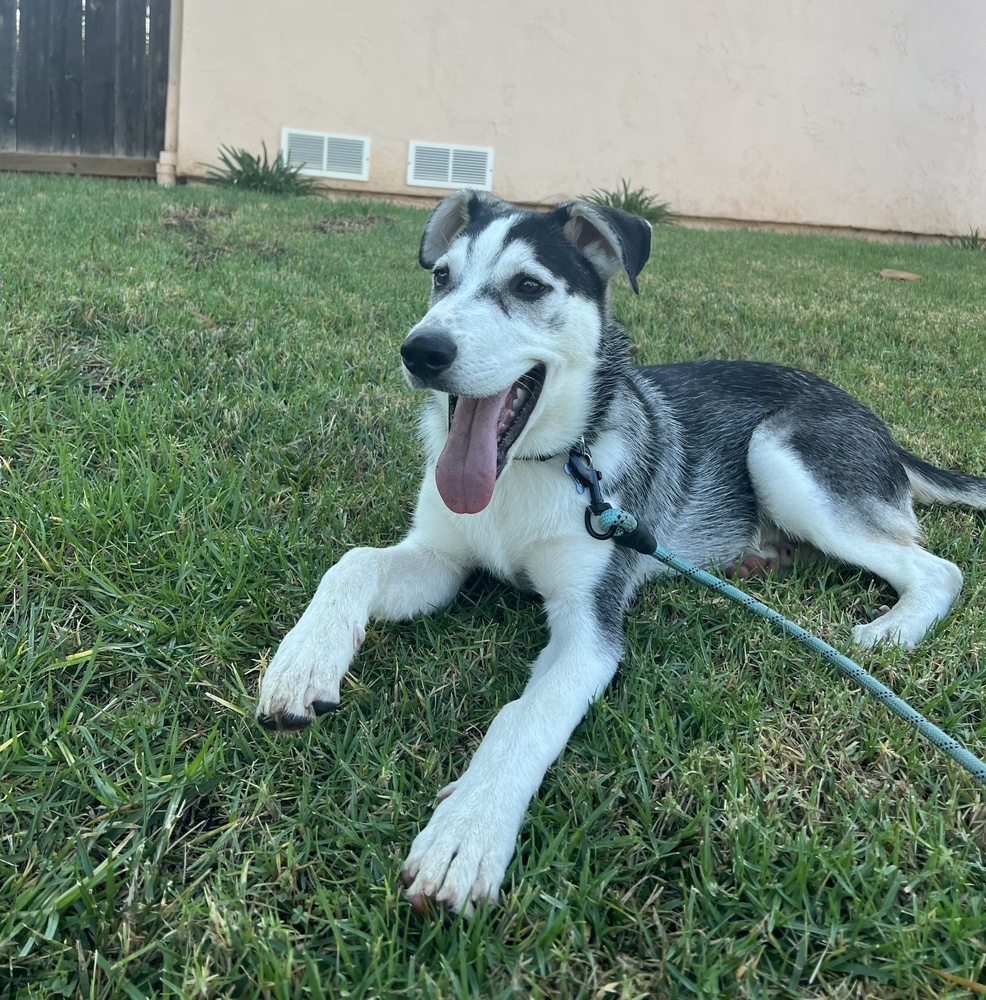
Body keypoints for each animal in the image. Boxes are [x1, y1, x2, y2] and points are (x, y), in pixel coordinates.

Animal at [256, 188, 984, 916]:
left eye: (528, 287)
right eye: (441, 277)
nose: (421, 351)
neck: (534, 469)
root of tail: (876, 424)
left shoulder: (589, 627)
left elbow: (526, 717)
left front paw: (467, 833)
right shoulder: (439, 560)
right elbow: (354, 560)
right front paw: (303, 663)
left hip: (779, 455)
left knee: (939, 568)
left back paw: (889, 632)